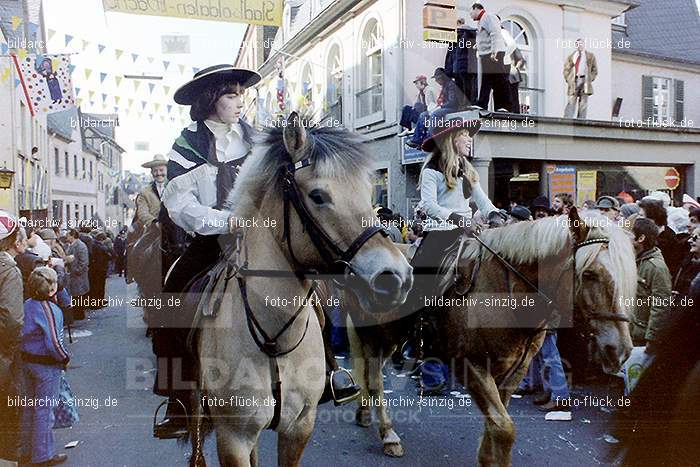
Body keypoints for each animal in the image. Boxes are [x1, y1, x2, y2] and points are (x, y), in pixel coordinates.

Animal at [189, 114, 412, 467]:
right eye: (318, 196)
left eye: (370, 191)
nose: (396, 277)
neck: (273, 337)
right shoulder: (233, 437)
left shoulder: (298, 427)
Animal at [348, 210, 636, 466]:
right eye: (589, 274)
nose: (620, 350)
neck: (505, 294)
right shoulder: (471, 366)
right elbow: (504, 428)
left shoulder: (514, 369)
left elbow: (497, 422)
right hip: (375, 336)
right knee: (374, 380)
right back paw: (388, 435)